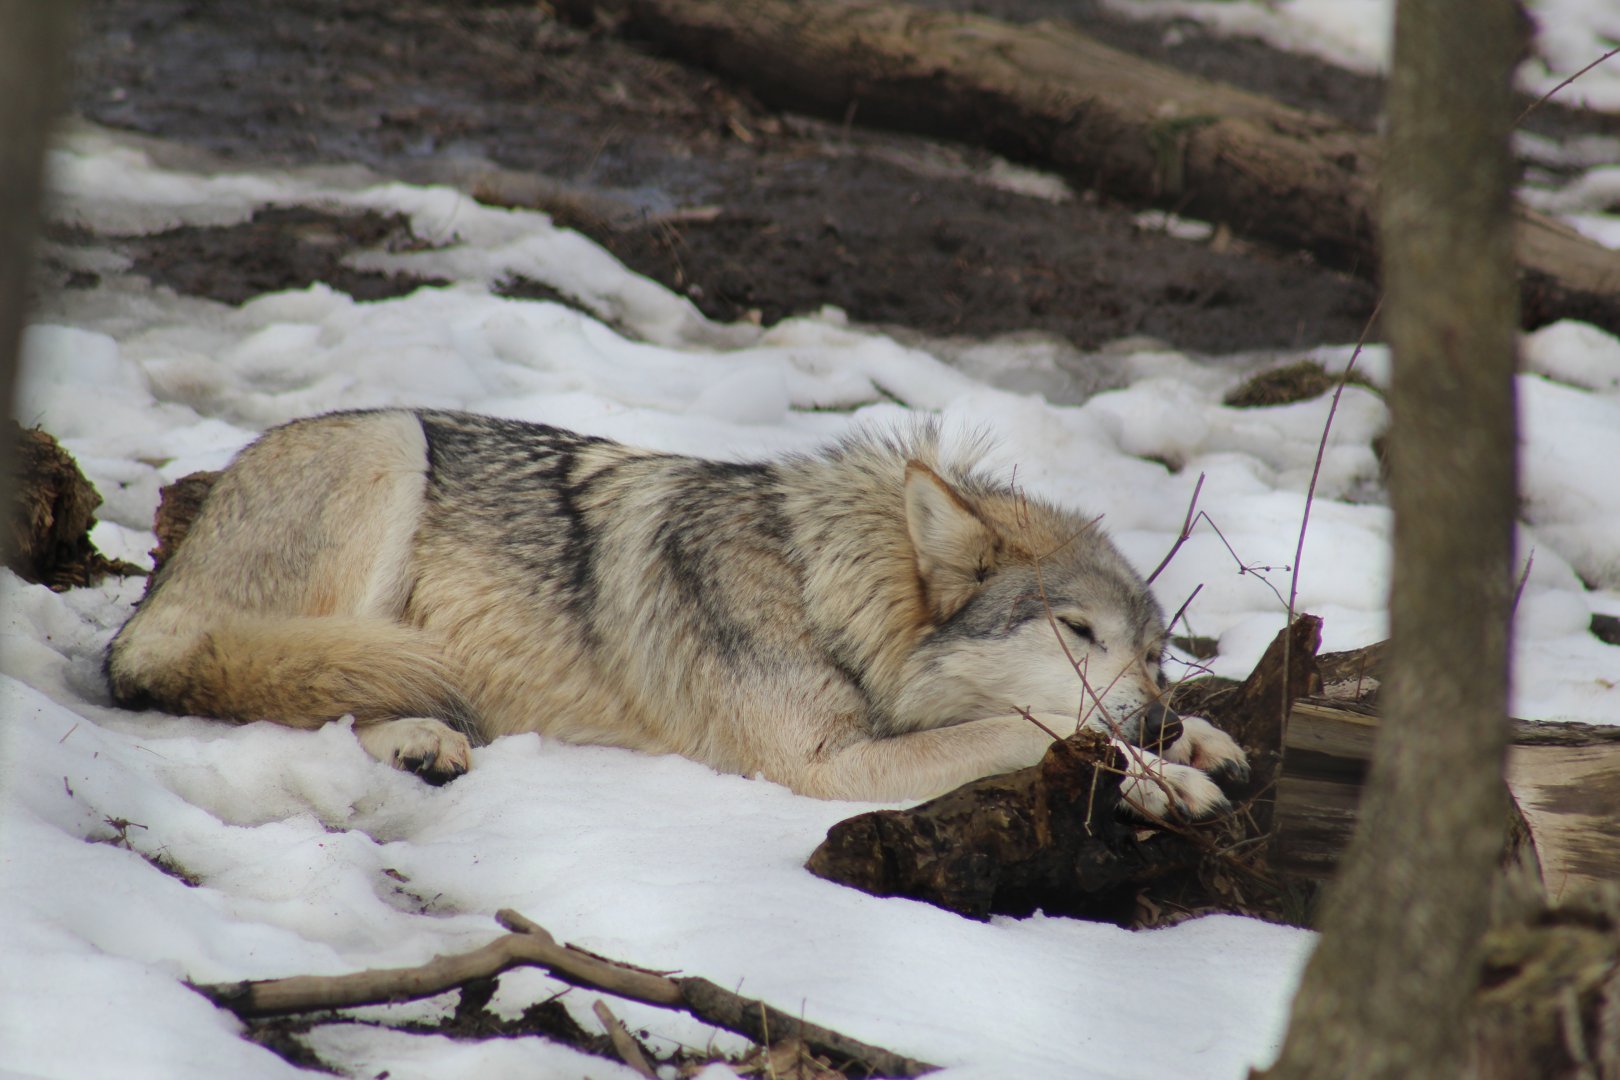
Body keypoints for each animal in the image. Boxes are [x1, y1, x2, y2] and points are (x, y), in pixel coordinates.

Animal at [106, 410, 1247, 817]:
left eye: (1156, 651)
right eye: (1077, 632)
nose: (1155, 712)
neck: (820, 587)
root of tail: (156, 594)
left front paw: (1194, 744)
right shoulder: (824, 768)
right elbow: (1027, 726)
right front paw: (1168, 781)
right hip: (391, 455)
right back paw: (421, 737)